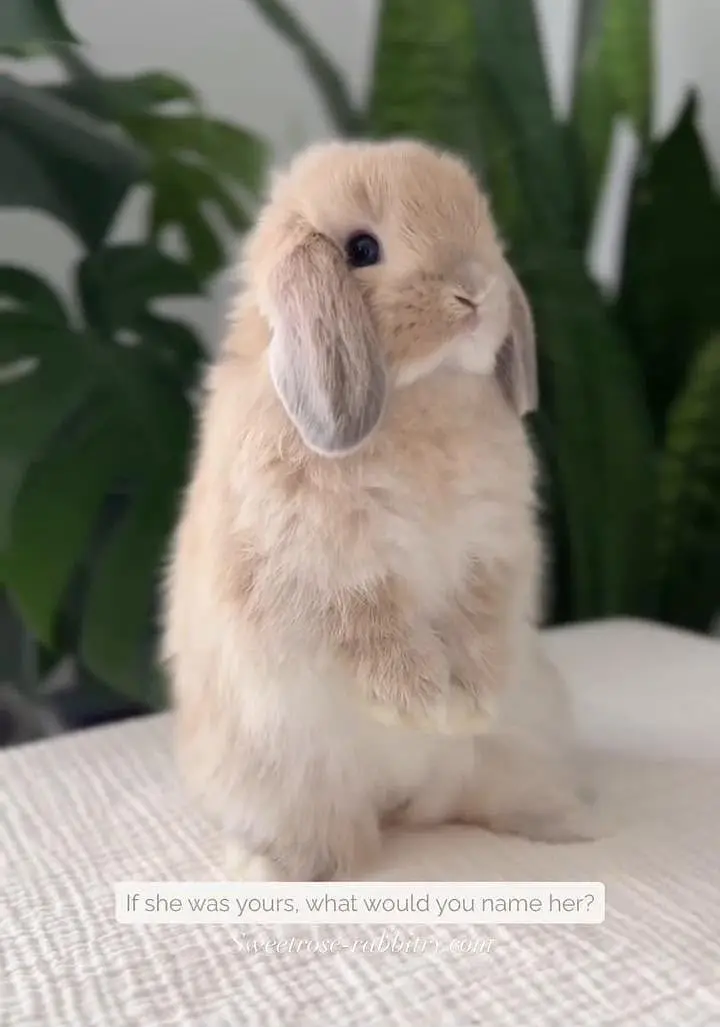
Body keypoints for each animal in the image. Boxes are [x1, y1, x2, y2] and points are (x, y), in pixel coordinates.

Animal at [160, 138, 597, 882]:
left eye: (481, 224)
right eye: (362, 248)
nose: (475, 291)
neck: (420, 396)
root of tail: (404, 802)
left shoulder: (492, 549)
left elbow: (479, 620)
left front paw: (469, 702)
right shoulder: (329, 569)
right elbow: (376, 633)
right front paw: (428, 707)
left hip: (522, 741)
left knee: (494, 795)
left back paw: (570, 822)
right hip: (279, 780)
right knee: (326, 834)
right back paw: (275, 869)